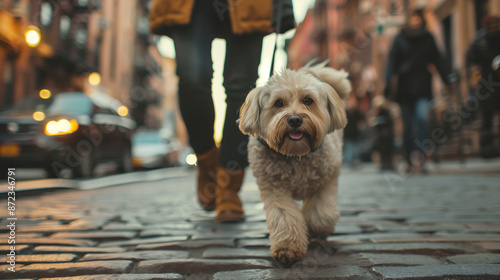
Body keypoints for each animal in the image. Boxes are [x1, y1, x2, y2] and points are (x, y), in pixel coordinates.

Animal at [239, 64, 350, 266]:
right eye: (278, 103)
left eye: (308, 100)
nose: (295, 119)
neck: (296, 154)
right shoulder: (274, 188)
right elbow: (284, 217)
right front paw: (287, 248)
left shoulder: (328, 177)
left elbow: (320, 212)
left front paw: (316, 228)